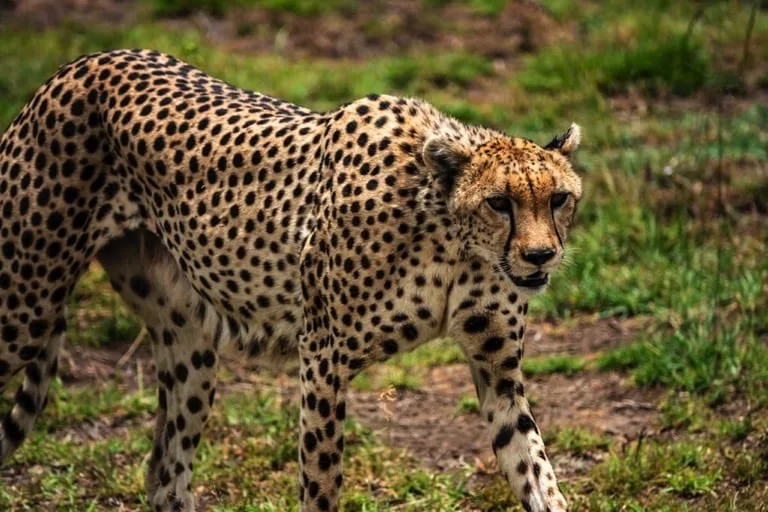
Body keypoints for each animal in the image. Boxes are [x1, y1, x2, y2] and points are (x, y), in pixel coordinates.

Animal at [0, 49, 582, 512]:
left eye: (559, 199)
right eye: (499, 202)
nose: (540, 256)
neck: (452, 241)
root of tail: (86, 61)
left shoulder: (498, 370)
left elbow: (536, 470)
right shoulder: (322, 359)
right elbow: (321, 483)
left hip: (189, 348)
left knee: (165, 474)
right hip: (25, 307)